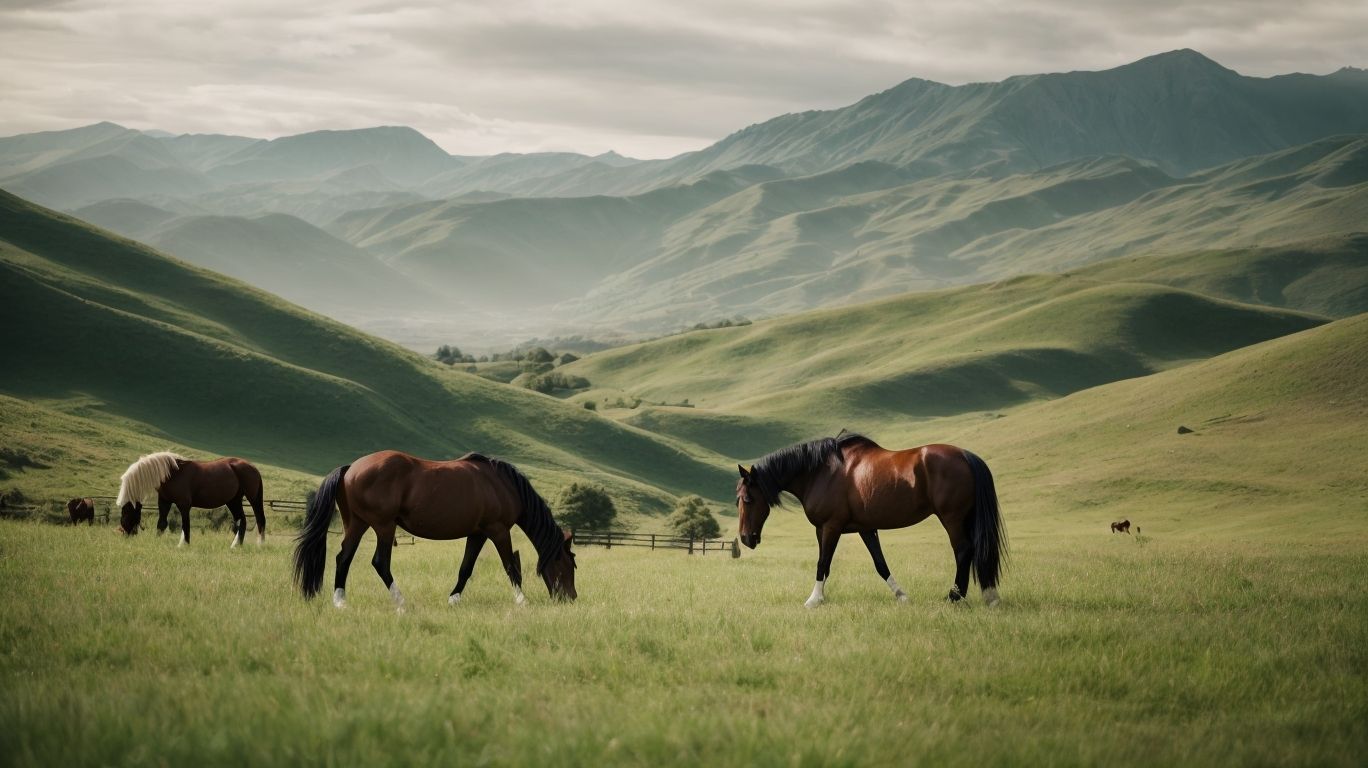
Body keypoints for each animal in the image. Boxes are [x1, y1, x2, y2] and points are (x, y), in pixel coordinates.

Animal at [116, 452, 266, 547]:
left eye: (125, 513)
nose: (126, 535)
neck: (172, 473)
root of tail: (253, 467)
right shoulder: (164, 502)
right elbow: (162, 524)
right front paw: (156, 542)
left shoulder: (184, 504)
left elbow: (185, 525)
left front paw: (184, 545)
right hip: (233, 501)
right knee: (242, 520)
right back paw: (236, 545)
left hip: (253, 499)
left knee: (260, 519)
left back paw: (260, 544)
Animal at [292, 450, 577, 611]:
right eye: (568, 565)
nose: (571, 598)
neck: (501, 484)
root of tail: (350, 468)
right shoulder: (497, 531)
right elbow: (510, 567)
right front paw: (522, 601)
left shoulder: (478, 533)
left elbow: (466, 568)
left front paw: (453, 600)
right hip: (384, 526)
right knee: (380, 562)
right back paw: (401, 603)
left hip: (358, 524)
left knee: (344, 558)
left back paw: (340, 602)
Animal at [736, 432, 1006, 607]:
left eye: (747, 498)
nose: (746, 538)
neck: (821, 472)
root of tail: (965, 455)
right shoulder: (865, 529)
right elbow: (880, 564)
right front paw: (901, 596)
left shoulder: (829, 527)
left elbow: (823, 563)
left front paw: (814, 600)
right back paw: (989, 596)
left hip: (951, 518)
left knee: (963, 550)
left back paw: (955, 596)